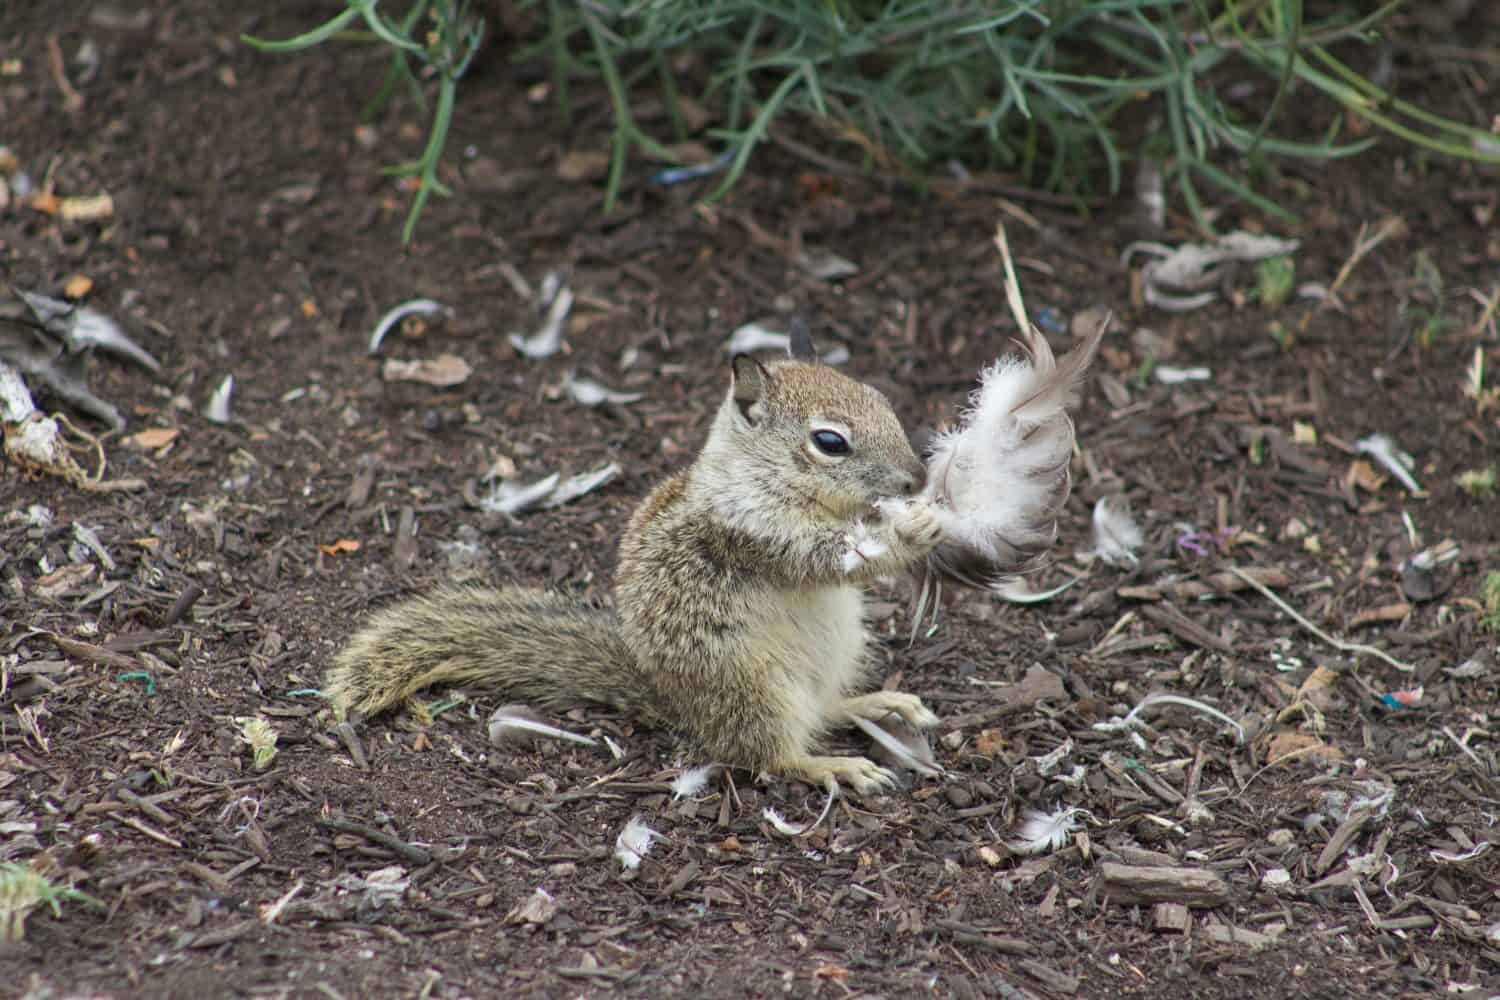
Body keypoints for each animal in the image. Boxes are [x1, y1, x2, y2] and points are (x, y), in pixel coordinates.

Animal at [325, 332, 948, 795]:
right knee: (770, 756)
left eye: (882, 402)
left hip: (835, 652)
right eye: (829, 442)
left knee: (826, 708)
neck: (762, 479)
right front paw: (916, 529)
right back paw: (835, 765)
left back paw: (880, 702)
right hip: (755, 689)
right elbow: (828, 560)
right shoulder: (755, 531)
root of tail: (673, 699)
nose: (918, 478)